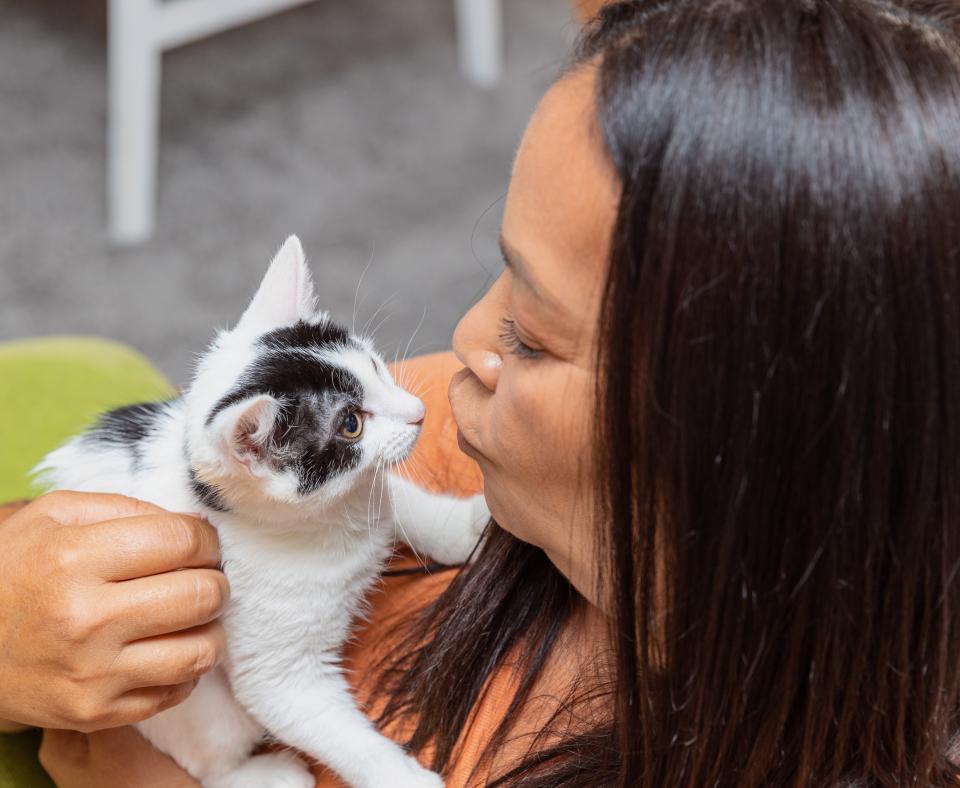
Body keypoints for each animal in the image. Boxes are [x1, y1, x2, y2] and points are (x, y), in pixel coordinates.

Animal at [34, 237, 488, 788]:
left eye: (375, 367)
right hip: (186, 700)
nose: (419, 413)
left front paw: (465, 529)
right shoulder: (279, 674)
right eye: (351, 424)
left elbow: (398, 501)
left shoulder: (364, 491)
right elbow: (323, 723)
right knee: (208, 759)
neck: (323, 521)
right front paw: (406, 779)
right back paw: (267, 774)